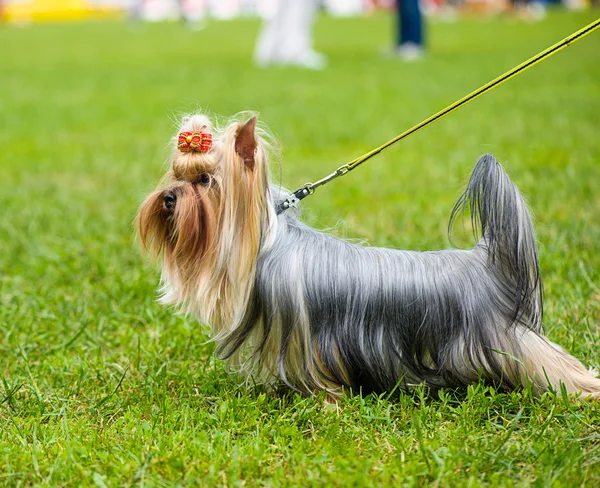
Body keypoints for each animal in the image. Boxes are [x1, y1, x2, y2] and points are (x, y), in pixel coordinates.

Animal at [138, 113, 600, 400]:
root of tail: (484, 260)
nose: (167, 198)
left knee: (548, 362)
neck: (267, 244)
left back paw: (584, 389)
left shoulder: (307, 339)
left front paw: (326, 401)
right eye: (175, 175)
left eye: (204, 180)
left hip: (502, 338)